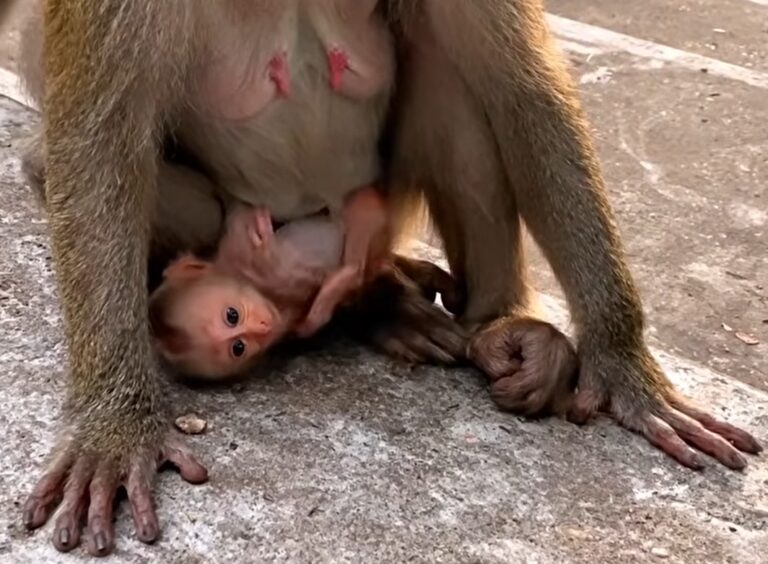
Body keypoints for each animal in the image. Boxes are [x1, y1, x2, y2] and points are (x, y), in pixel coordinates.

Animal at [11, 0, 760, 557]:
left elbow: (523, 90)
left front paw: (624, 361)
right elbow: (101, 138)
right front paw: (117, 423)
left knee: (453, 71)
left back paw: (495, 328)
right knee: (60, 163)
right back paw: (374, 307)